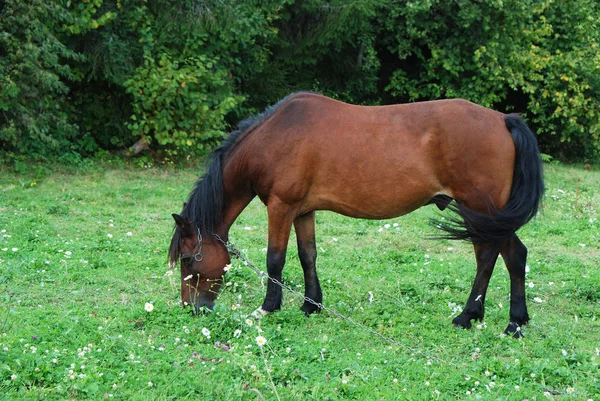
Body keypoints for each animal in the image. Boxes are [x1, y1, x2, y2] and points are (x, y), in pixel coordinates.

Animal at [168, 91, 544, 338]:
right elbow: (307, 256)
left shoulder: (281, 207)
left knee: (495, 257)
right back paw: (506, 320)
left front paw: (268, 307)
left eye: (187, 259)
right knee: (507, 256)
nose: (192, 308)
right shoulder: (303, 211)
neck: (275, 137)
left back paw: (477, 318)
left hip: (480, 209)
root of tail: (503, 120)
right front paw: (311, 305)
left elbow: (275, 259)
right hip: (484, 215)